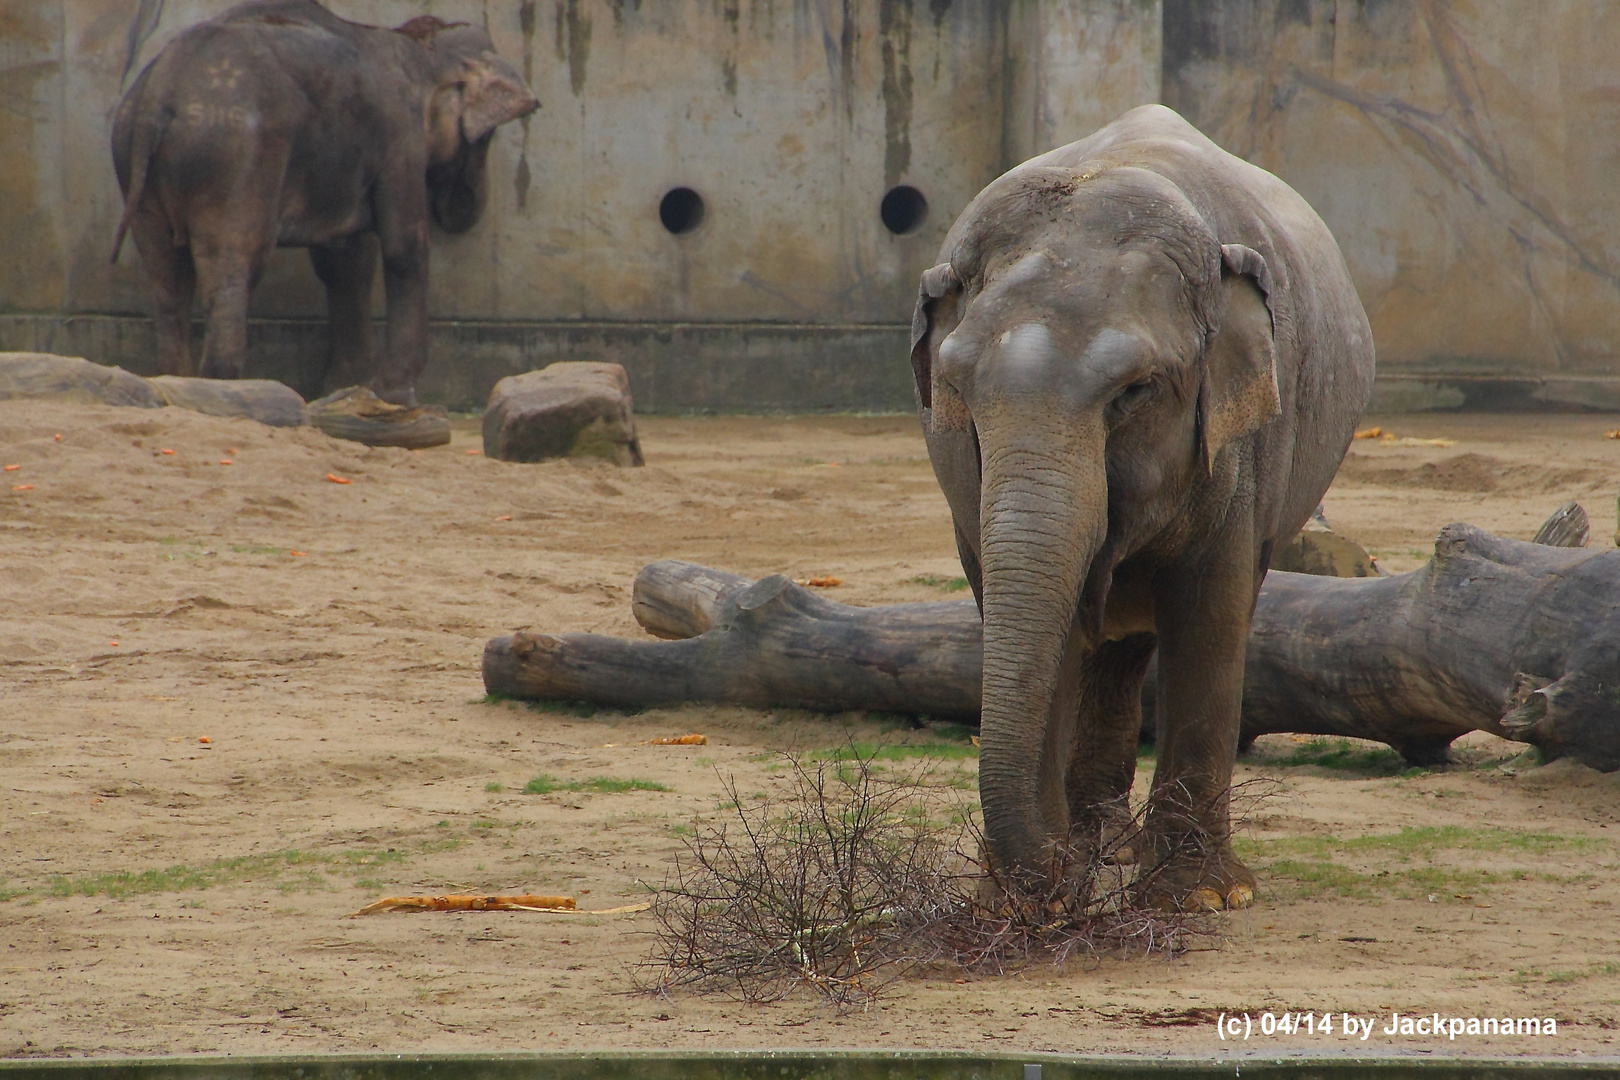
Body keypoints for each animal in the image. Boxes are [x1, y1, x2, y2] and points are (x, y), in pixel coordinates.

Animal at [110, 0, 537, 404]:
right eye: (485, 138)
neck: (416, 48)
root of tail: (159, 92)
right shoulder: (400, 138)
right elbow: (404, 248)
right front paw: (396, 396)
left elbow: (345, 259)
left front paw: (344, 389)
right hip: (235, 154)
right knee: (235, 262)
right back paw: (227, 386)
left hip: (134, 161)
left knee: (167, 274)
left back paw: (178, 380)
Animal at [907, 105, 1373, 906]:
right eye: (958, 388)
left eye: (1134, 392)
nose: (1055, 870)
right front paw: (1029, 893)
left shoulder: (1243, 448)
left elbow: (1210, 610)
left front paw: (1201, 897)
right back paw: (1101, 845)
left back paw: (1115, 851)